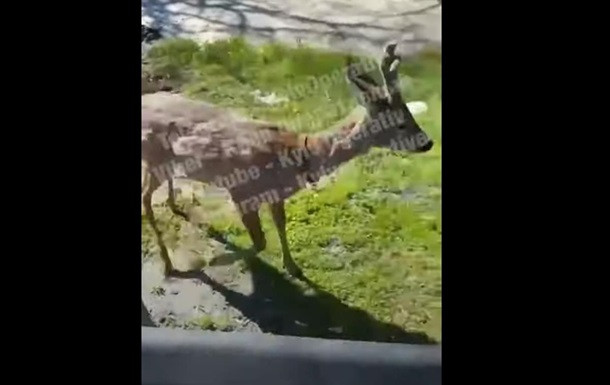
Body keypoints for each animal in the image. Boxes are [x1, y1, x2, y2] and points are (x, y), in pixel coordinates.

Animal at [141, 43, 432, 278]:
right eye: (400, 124)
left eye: (409, 114)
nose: (428, 142)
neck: (296, 156)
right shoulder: (242, 190)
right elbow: (259, 242)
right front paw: (212, 261)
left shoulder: (276, 195)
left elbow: (280, 226)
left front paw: (292, 266)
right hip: (154, 159)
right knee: (145, 200)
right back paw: (169, 264)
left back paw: (175, 207)